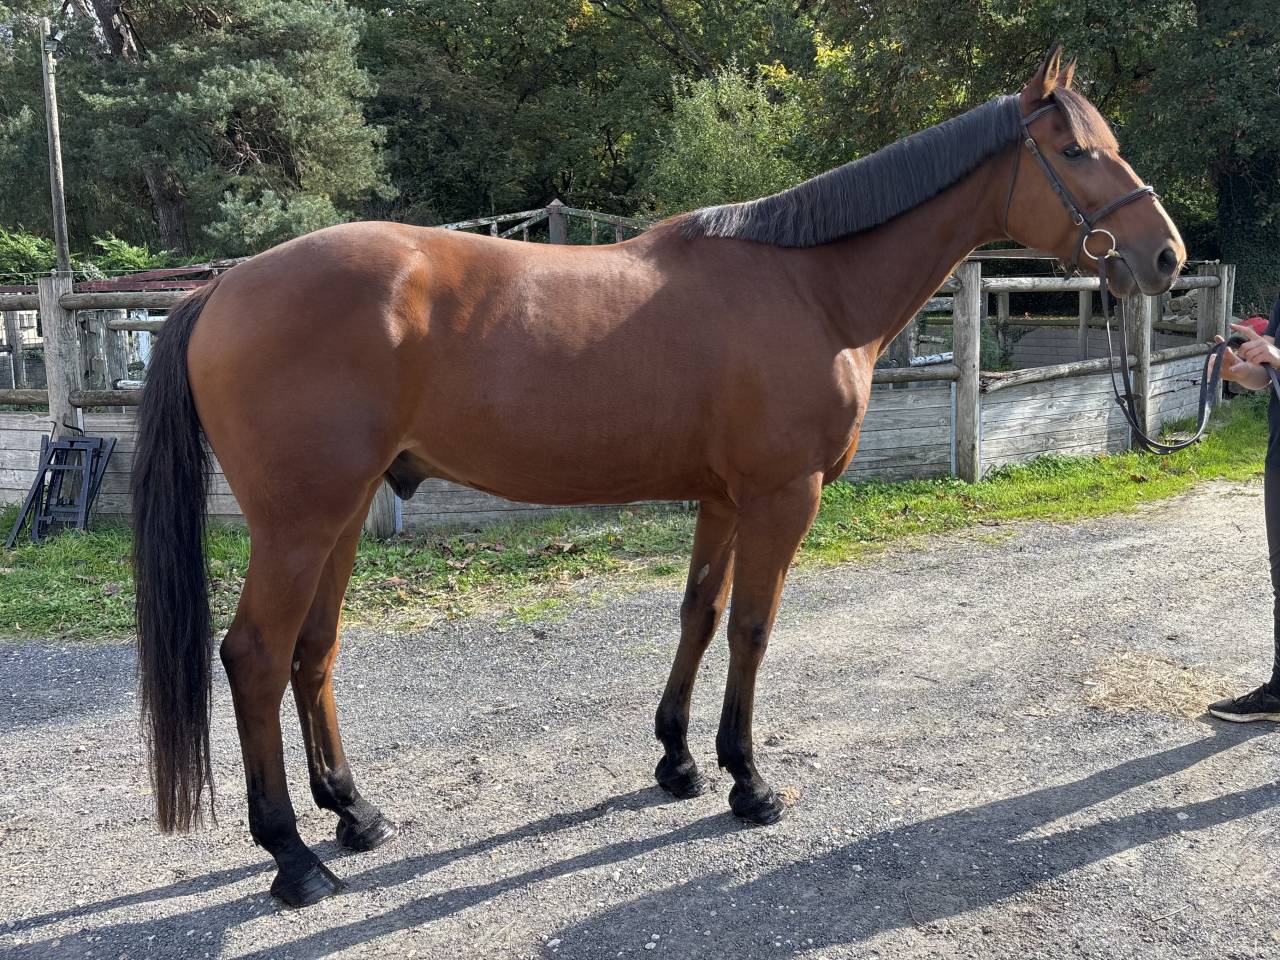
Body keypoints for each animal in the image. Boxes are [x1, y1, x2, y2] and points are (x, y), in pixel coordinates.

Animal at [131, 45, 1185, 906]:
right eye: (1078, 152)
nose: (1166, 256)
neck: (810, 286)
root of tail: (224, 287)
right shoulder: (781, 497)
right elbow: (754, 628)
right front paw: (748, 781)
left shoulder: (721, 499)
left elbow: (700, 615)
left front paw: (678, 762)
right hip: (300, 522)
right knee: (256, 657)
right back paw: (293, 859)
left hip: (341, 516)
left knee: (313, 654)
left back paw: (354, 815)